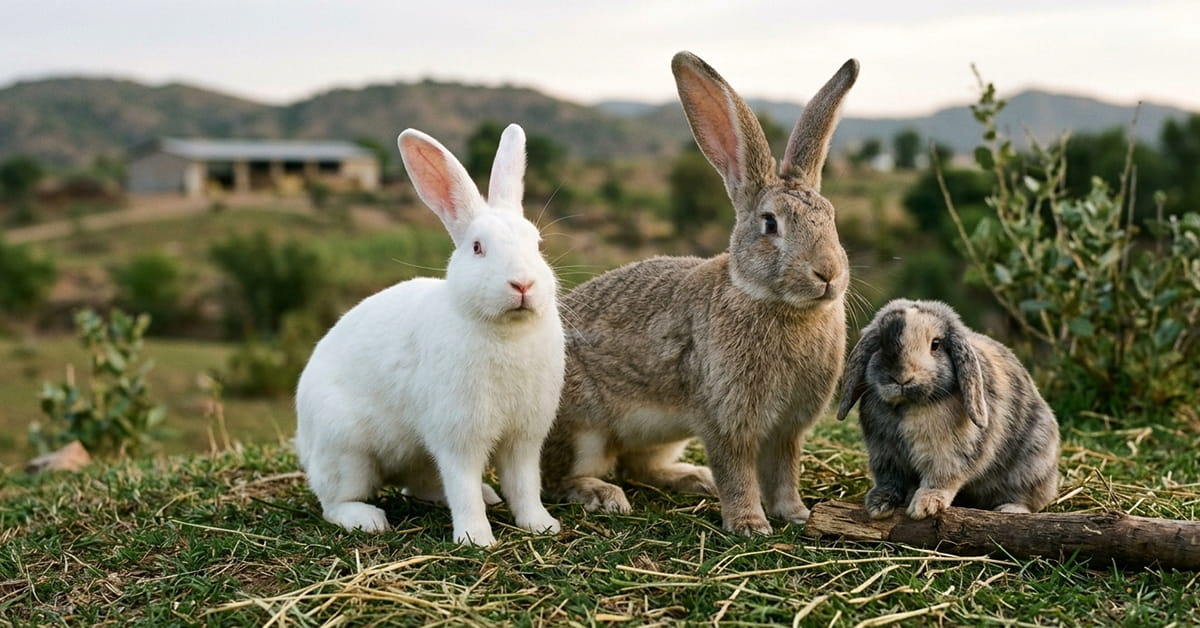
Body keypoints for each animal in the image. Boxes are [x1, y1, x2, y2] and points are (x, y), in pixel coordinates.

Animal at [294, 123, 564, 546]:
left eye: (537, 245)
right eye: (477, 248)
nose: (523, 284)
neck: (506, 332)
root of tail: (303, 442)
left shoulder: (524, 439)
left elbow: (524, 486)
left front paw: (541, 525)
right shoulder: (458, 437)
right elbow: (463, 487)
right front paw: (476, 539)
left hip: (415, 455)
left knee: (419, 485)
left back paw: (488, 495)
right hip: (346, 452)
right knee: (334, 502)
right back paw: (368, 519)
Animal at [540, 51, 859, 536]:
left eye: (831, 217)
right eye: (770, 223)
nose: (828, 274)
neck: (776, 304)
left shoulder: (788, 429)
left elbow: (785, 473)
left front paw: (796, 514)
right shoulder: (726, 419)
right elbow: (737, 472)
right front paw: (750, 524)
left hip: (661, 436)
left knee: (639, 467)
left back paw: (692, 478)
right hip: (581, 427)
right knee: (556, 477)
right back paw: (602, 494)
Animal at [837, 298, 1060, 520]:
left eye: (935, 344)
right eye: (882, 343)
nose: (902, 378)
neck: (908, 405)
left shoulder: (947, 454)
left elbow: (941, 478)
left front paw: (925, 506)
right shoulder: (885, 454)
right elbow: (889, 481)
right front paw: (878, 506)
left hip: (1030, 466)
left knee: (1025, 498)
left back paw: (1009, 510)